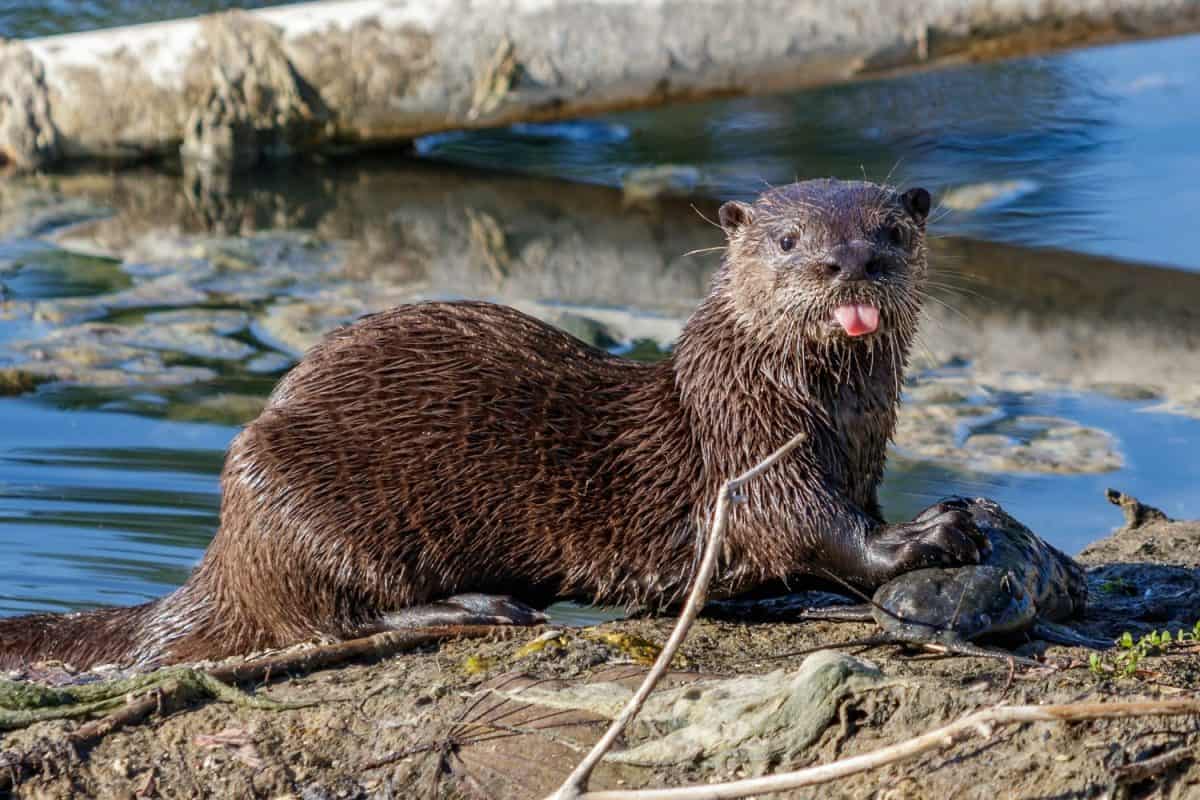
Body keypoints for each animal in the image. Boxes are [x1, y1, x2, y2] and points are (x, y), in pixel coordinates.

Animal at [0, 179, 984, 671]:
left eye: (891, 230)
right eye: (786, 241)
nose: (846, 262)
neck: (823, 417)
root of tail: (225, 552)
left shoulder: (856, 458)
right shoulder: (753, 453)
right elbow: (815, 530)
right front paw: (928, 535)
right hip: (294, 490)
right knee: (326, 621)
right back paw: (483, 605)